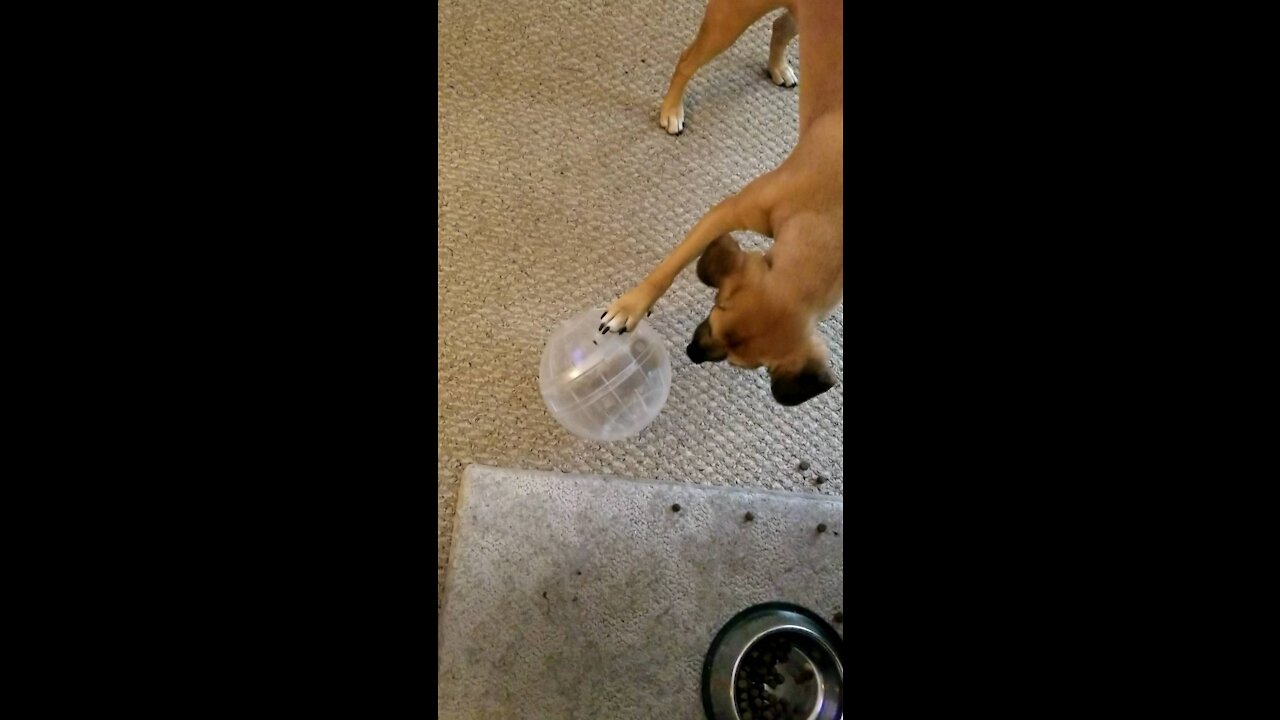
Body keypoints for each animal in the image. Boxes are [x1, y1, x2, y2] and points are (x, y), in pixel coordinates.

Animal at [596, 0, 839, 404]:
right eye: (716, 309)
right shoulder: (725, 212)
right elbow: (667, 270)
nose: (692, 354)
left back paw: (778, 67)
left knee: (780, 26)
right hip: (728, 21)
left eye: (752, 366)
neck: (830, 226)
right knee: (687, 59)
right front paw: (629, 308)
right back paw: (672, 109)